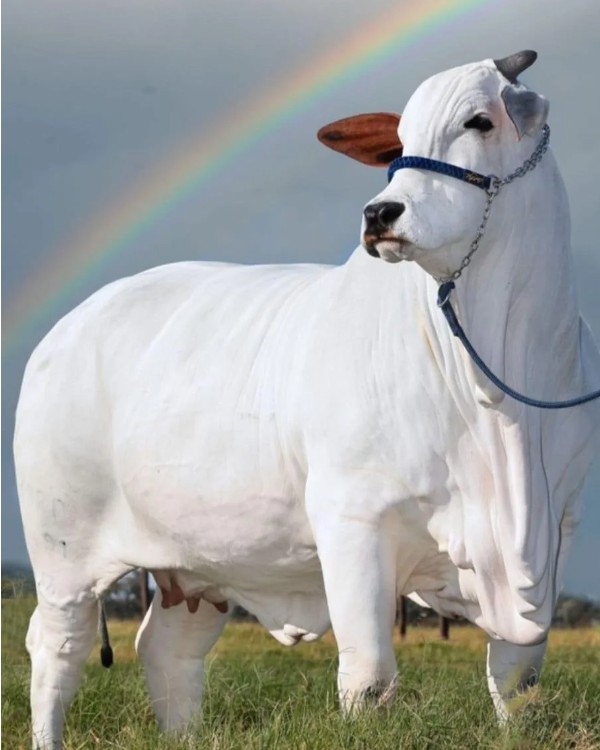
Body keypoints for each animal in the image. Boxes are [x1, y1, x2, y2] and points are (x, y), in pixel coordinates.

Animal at [15, 51, 600, 748]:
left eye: (479, 121)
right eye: (399, 139)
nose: (380, 214)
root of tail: (70, 323)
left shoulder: (555, 529)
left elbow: (516, 680)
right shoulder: (353, 519)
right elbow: (370, 678)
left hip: (199, 563)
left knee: (167, 650)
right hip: (62, 549)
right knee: (58, 648)